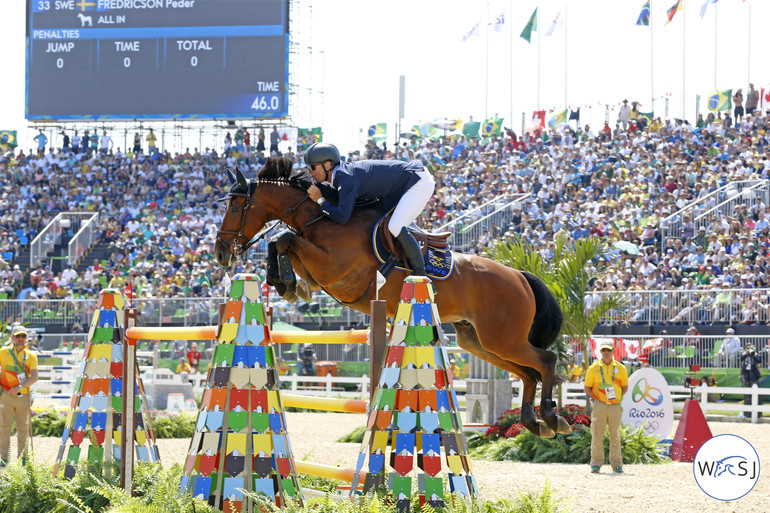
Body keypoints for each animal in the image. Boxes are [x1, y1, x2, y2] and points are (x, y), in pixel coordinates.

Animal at [213, 157, 568, 436]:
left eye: (235, 205)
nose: (220, 254)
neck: (321, 219)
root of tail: (520, 276)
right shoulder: (318, 269)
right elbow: (283, 244)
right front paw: (287, 284)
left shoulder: (333, 268)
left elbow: (284, 238)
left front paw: (285, 281)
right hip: (479, 342)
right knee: (528, 372)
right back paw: (534, 423)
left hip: (502, 338)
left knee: (545, 362)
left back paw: (552, 417)